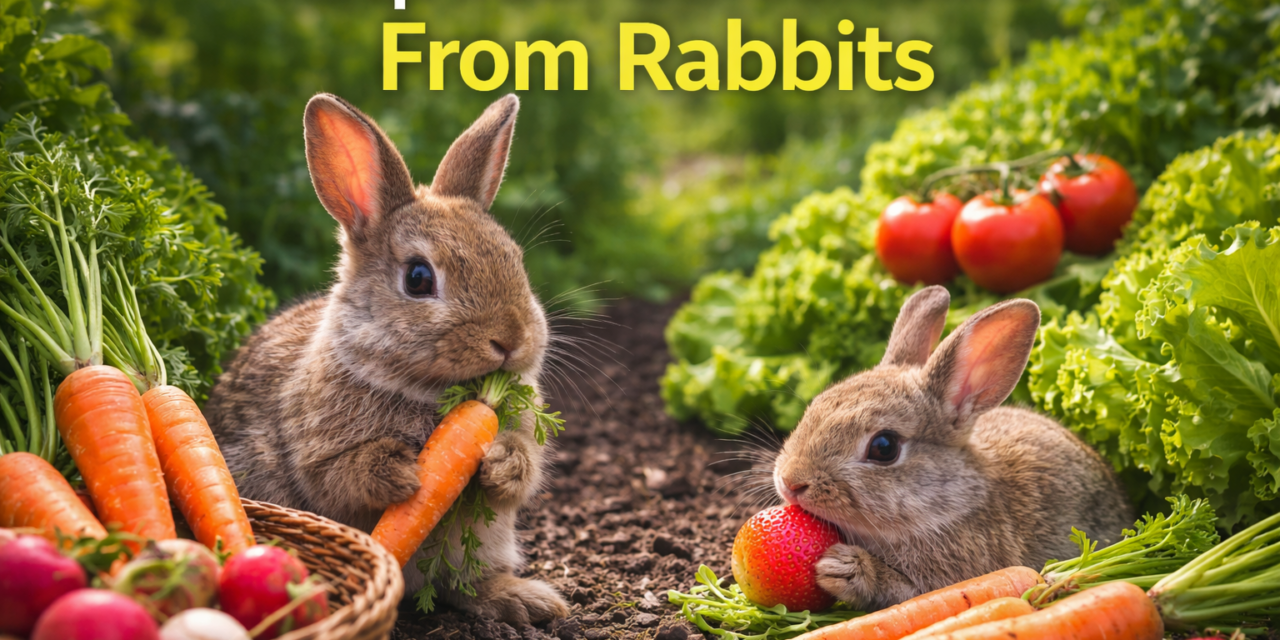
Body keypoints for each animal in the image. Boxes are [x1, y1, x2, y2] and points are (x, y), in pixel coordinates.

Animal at [203, 92, 569, 625]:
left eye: (515, 259)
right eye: (418, 278)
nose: (512, 339)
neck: (432, 394)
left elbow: (523, 467)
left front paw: (499, 462)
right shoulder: (315, 455)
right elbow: (339, 477)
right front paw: (403, 471)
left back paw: (530, 600)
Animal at [772, 285, 1134, 611]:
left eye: (884, 447)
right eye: (816, 404)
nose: (791, 482)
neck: (944, 508)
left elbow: (907, 593)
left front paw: (841, 568)